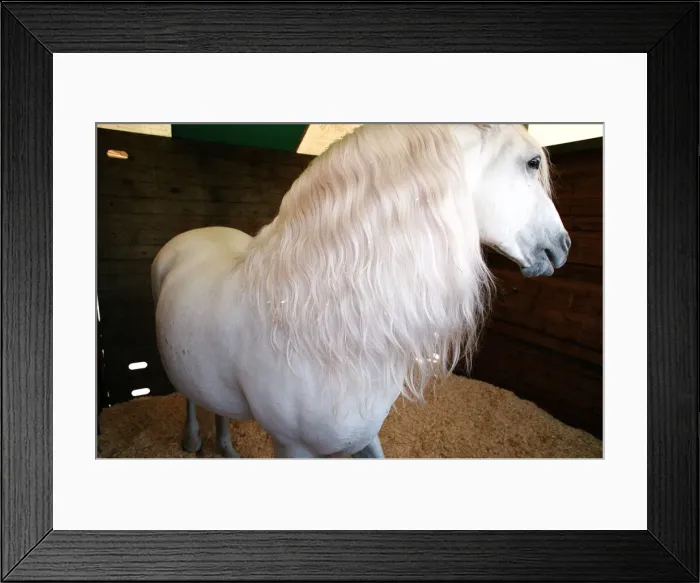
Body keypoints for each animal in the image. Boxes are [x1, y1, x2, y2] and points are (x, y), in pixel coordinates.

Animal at [150, 123, 570, 459]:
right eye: (533, 163)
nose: (563, 246)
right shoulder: (292, 447)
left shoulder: (366, 437)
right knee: (190, 399)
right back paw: (192, 440)